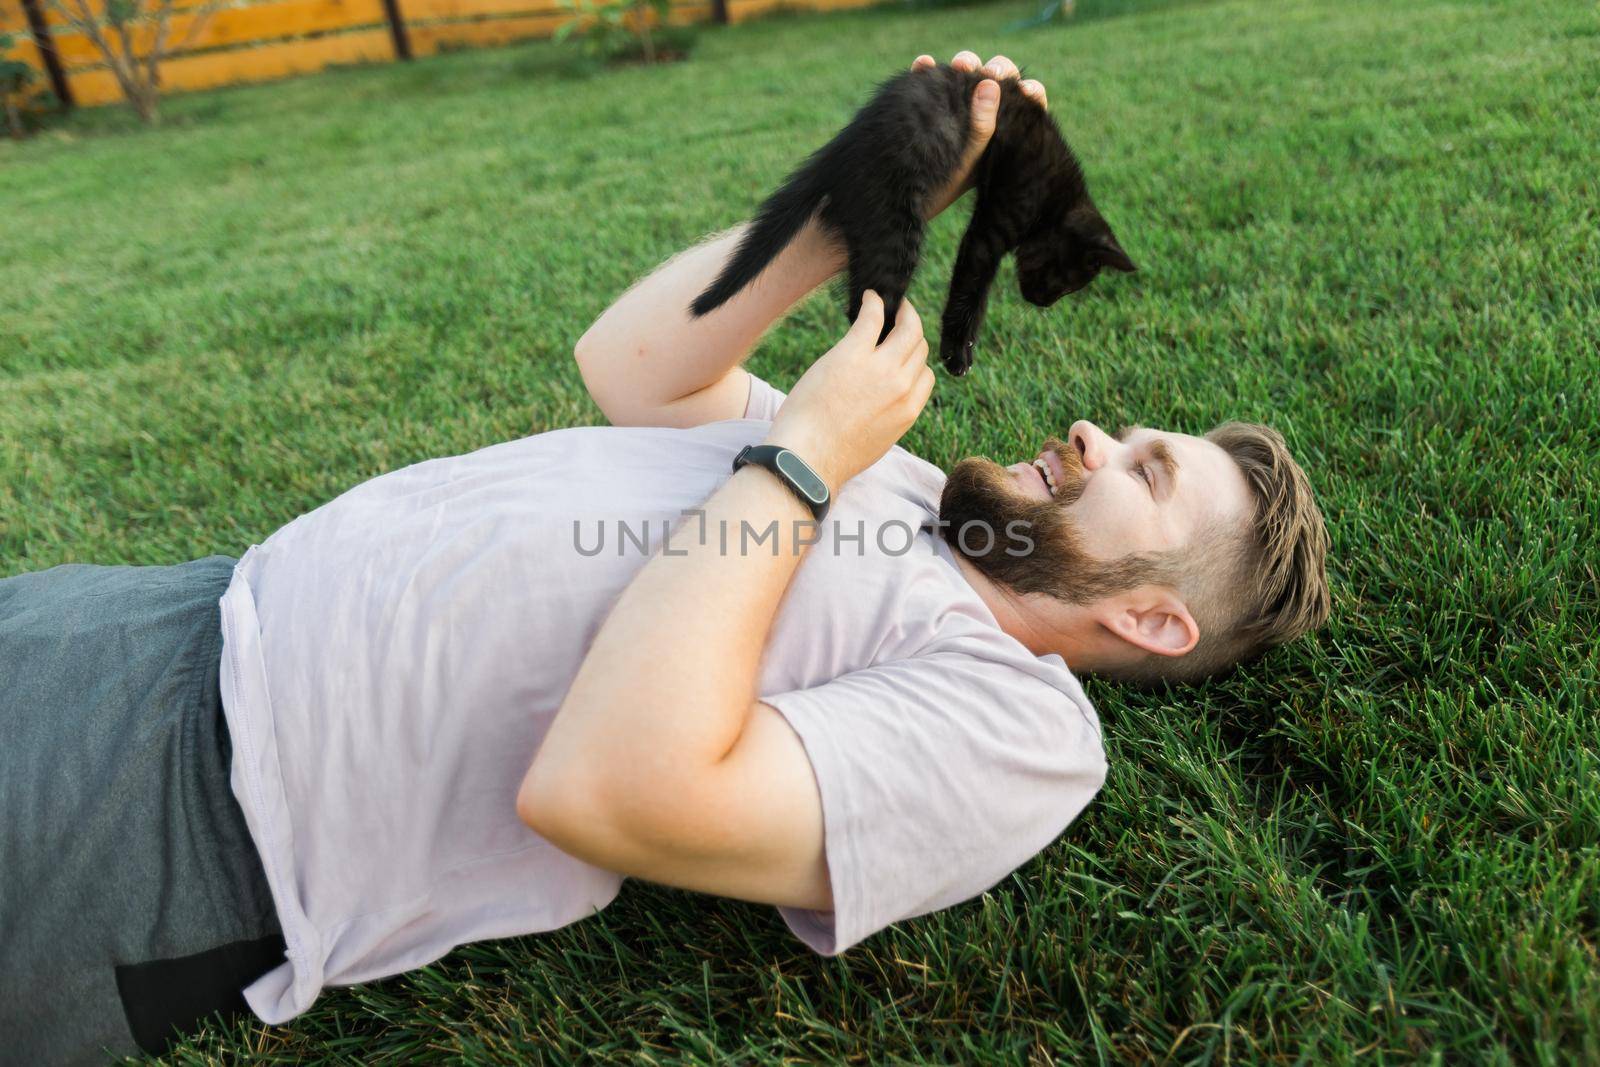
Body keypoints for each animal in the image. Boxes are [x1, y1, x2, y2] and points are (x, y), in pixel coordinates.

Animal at [691, 63, 1139, 375]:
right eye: (1067, 282)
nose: (1041, 302)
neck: (1058, 198)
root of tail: (840, 148)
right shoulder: (995, 220)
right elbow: (971, 287)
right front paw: (958, 352)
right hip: (895, 230)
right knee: (868, 307)